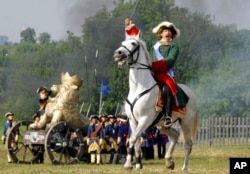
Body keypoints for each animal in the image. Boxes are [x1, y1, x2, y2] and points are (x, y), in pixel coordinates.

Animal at [114, 37, 198, 170]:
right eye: (123, 43)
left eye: (133, 43)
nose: (118, 53)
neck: (139, 87)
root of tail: (191, 93)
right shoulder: (133, 121)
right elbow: (135, 142)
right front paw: (138, 164)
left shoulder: (145, 119)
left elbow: (132, 139)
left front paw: (128, 164)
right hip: (162, 125)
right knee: (175, 136)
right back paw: (169, 161)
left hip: (186, 123)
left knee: (187, 144)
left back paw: (184, 167)